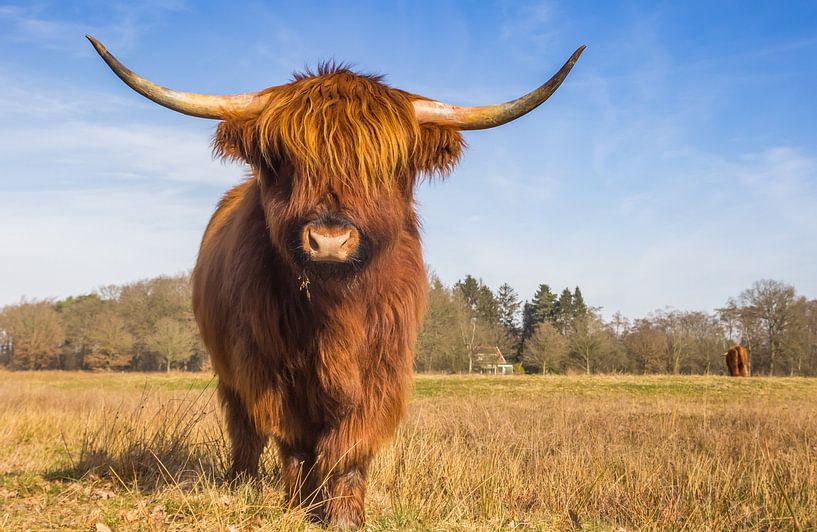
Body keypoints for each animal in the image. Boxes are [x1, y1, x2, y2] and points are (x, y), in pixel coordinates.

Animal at [88, 35, 584, 528]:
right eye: (283, 160)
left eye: (385, 165)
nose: (329, 240)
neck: (334, 312)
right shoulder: (269, 369)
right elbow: (293, 441)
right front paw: (297, 504)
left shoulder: (381, 370)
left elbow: (349, 446)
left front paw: (344, 515)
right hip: (228, 368)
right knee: (244, 429)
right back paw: (241, 481)